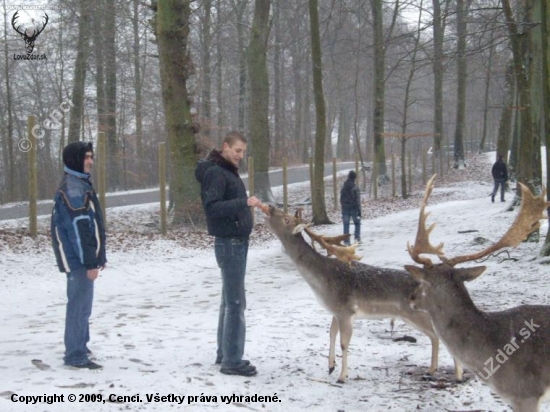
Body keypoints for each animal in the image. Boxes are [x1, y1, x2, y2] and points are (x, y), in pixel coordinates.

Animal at [266, 205, 464, 384]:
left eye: (286, 219)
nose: (270, 207)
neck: (321, 283)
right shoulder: (336, 311)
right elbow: (331, 333)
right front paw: (330, 366)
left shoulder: (346, 310)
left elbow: (344, 342)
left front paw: (342, 377)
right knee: (435, 336)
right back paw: (432, 370)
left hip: (416, 313)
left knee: (439, 335)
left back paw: (458, 375)